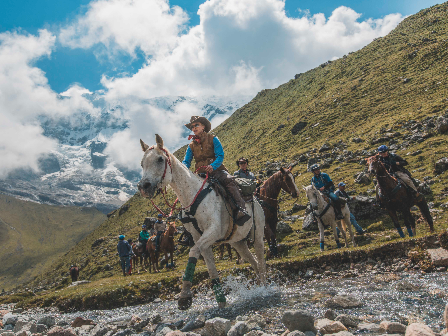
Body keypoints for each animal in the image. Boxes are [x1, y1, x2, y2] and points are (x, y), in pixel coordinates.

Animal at [138, 135, 266, 310]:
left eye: (160, 159)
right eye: (142, 163)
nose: (143, 187)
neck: (193, 195)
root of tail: (255, 198)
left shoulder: (212, 232)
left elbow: (193, 253)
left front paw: (185, 296)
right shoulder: (199, 238)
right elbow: (210, 268)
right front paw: (221, 301)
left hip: (258, 236)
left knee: (261, 260)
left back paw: (267, 288)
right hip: (238, 242)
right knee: (253, 261)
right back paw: (259, 287)